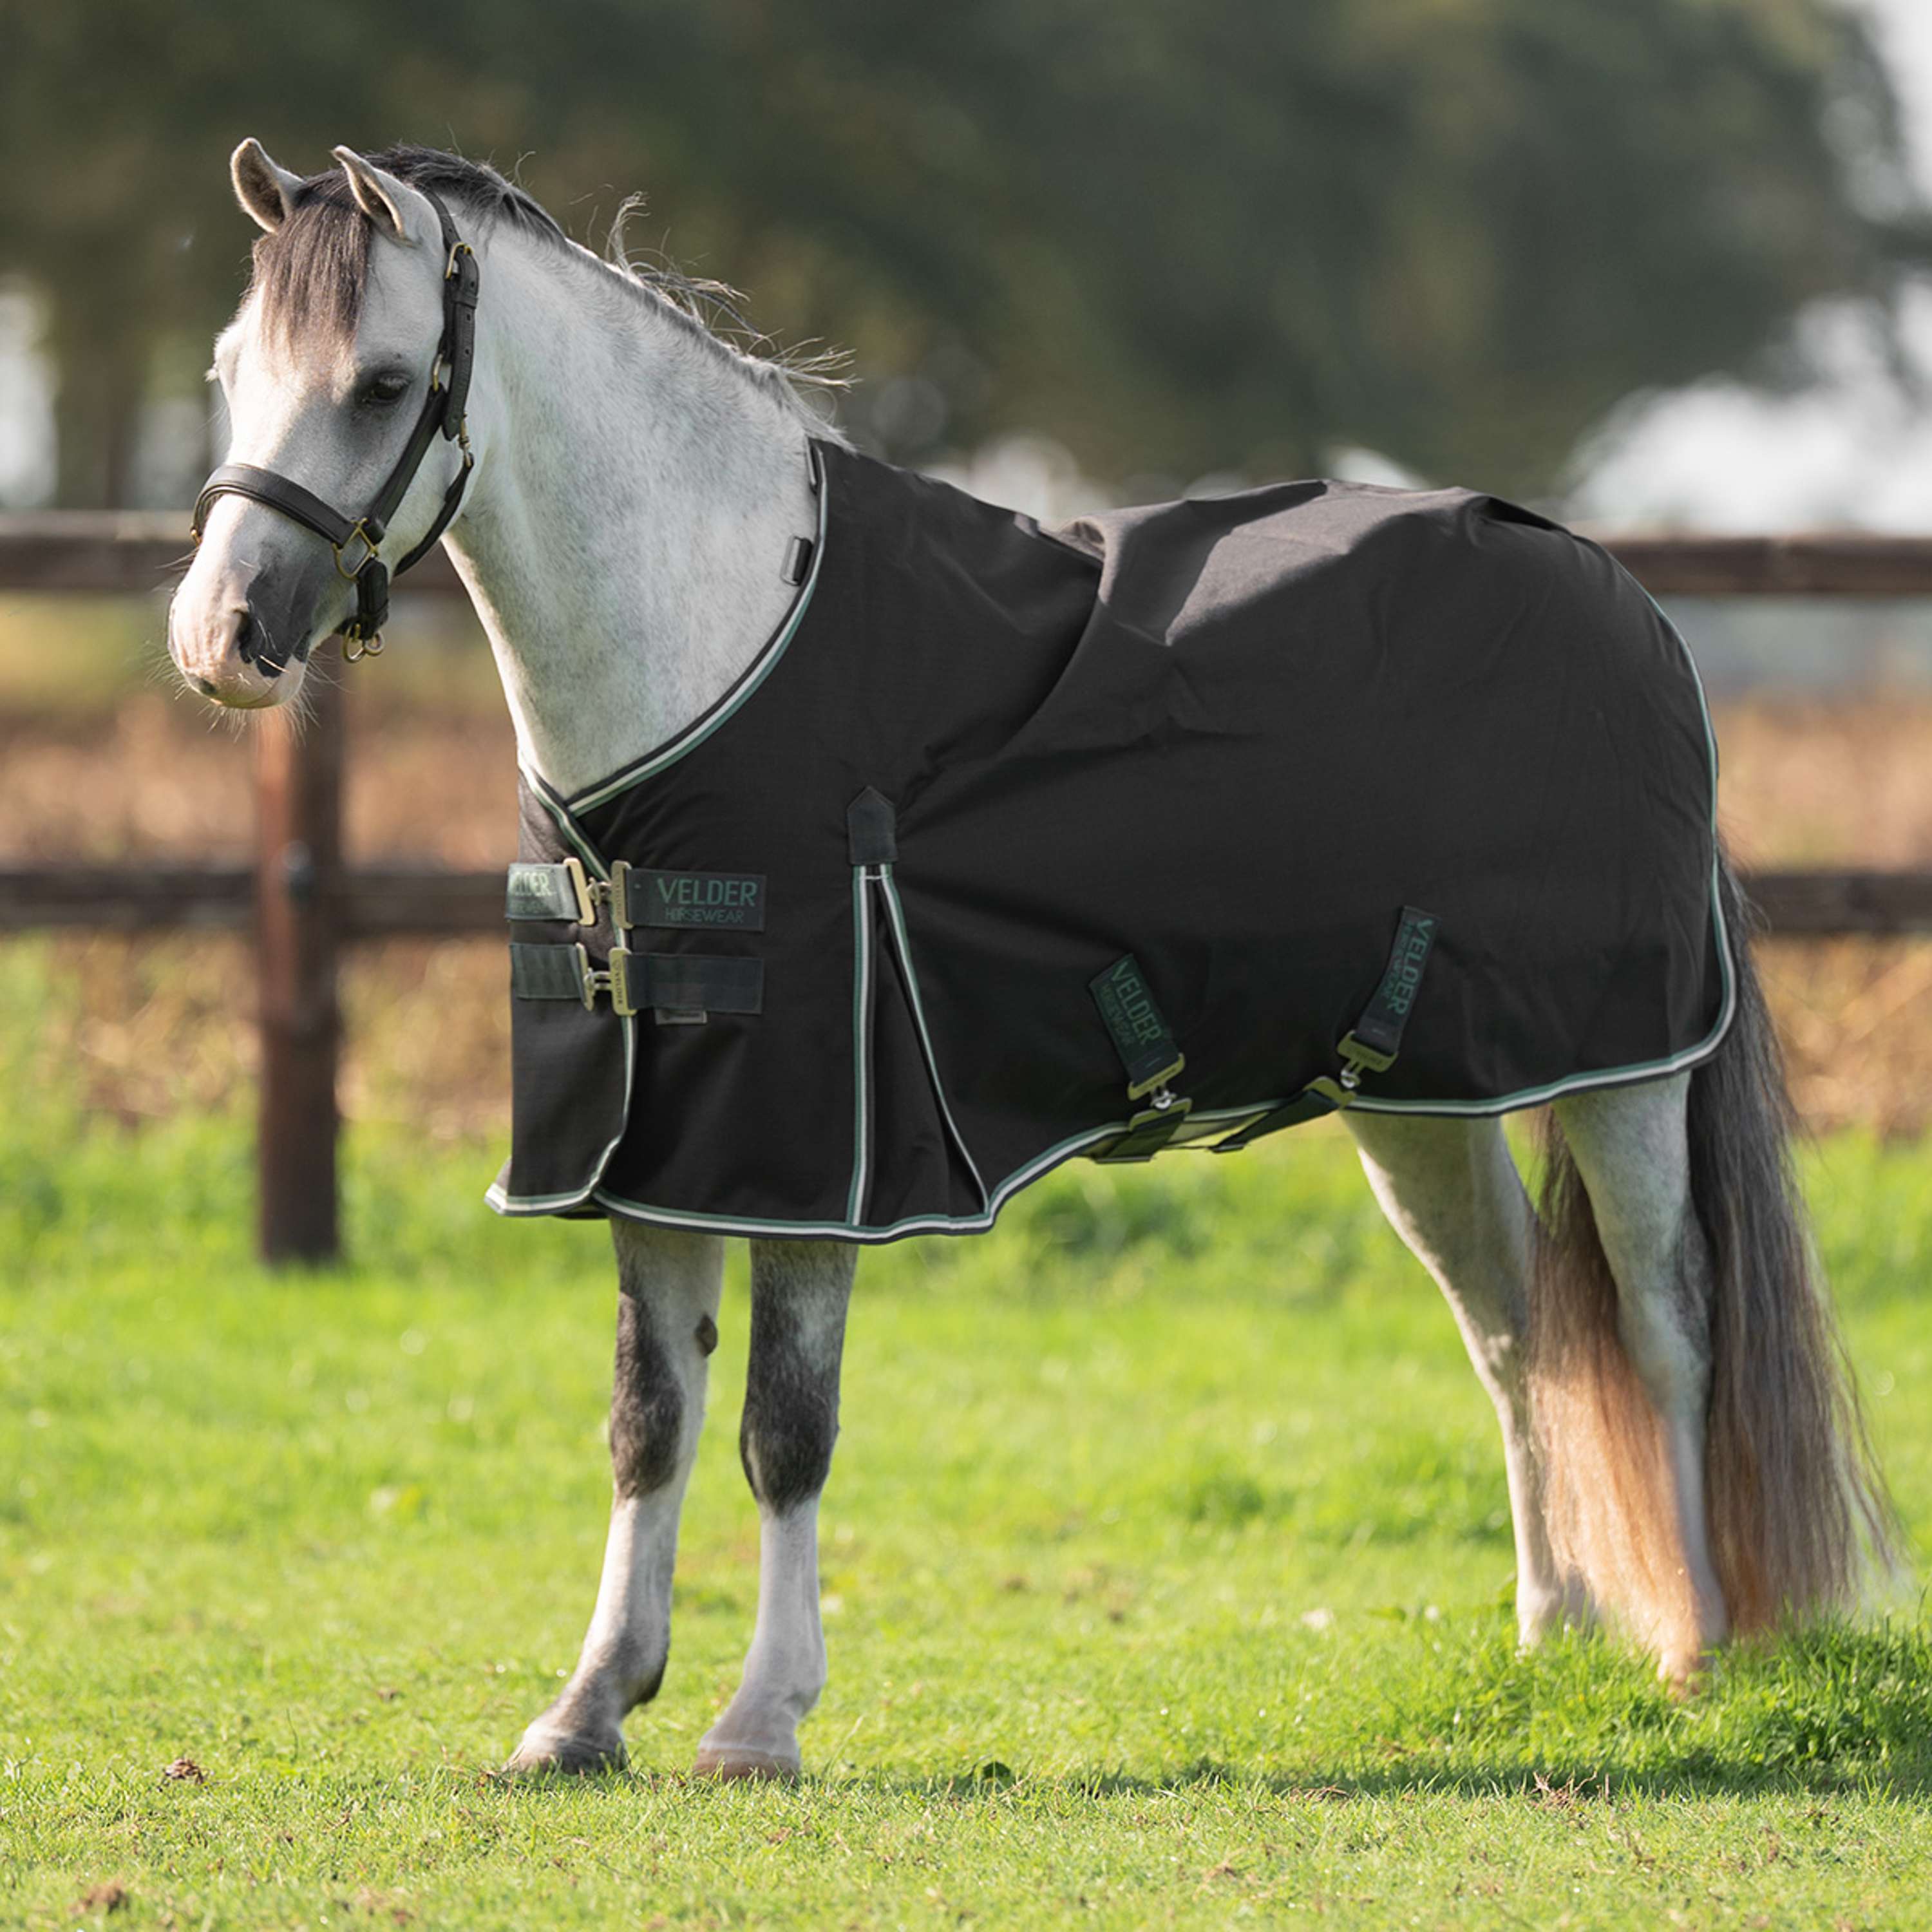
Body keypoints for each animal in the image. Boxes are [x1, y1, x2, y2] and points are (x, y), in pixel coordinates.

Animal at [168, 140, 1894, 1780]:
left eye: (381, 379)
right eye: (228, 367)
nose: (218, 639)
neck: (715, 649)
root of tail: (1621, 596)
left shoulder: (815, 1155)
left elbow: (784, 1431)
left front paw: (758, 1722)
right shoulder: (663, 1143)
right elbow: (648, 1425)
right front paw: (586, 1714)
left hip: (1620, 1076)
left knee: (1666, 1326)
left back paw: (1692, 1657)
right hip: (1422, 1102)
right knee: (1519, 1331)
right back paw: (1552, 1637)